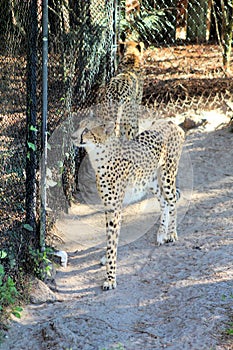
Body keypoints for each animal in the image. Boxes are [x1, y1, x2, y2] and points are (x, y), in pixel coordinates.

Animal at [72, 116, 185, 292]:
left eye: (87, 130)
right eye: (79, 126)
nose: (73, 136)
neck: (98, 154)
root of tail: (170, 122)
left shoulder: (115, 208)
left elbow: (112, 243)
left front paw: (110, 278)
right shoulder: (109, 207)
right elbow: (110, 238)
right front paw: (106, 258)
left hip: (167, 176)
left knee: (172, 200)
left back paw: (171, 233)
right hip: (149, 180)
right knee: (163, 201)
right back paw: (161, 233)